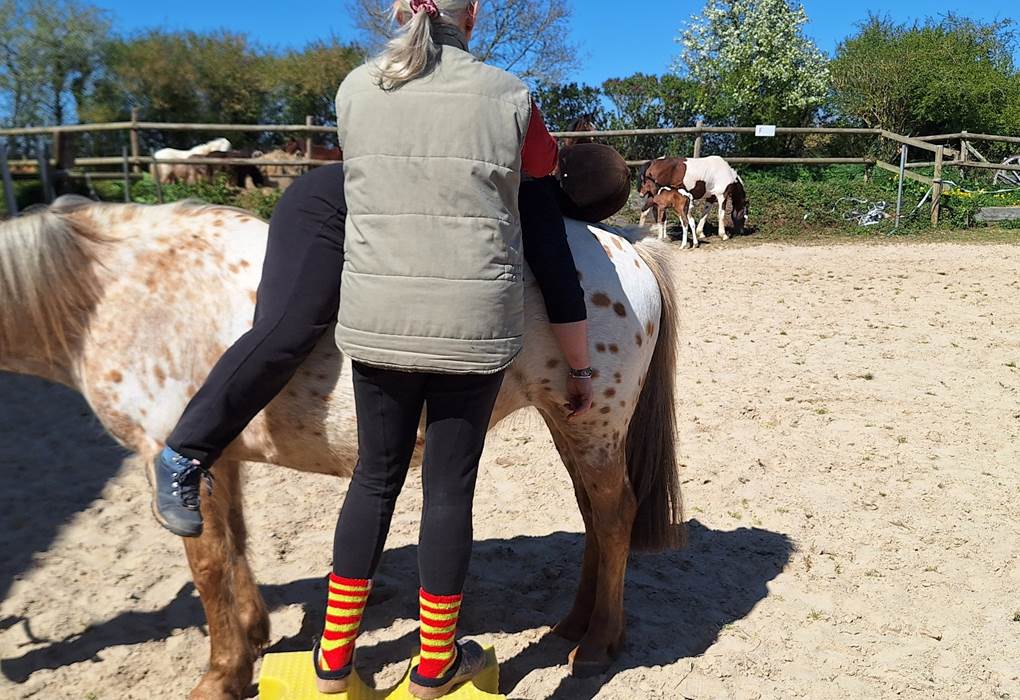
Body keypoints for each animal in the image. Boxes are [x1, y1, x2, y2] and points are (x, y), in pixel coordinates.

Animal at [0, 196, 684, 699]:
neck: (116, 290)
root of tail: (628, 247)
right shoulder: (219, 461)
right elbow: (237, 547)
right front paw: (254, 635)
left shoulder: (171, 455)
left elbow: (210, 566)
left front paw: (221, 676)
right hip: (570, 422)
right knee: (595, 517)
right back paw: (574, 624)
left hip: (595, 427)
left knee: (614, 517)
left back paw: (596, 644)